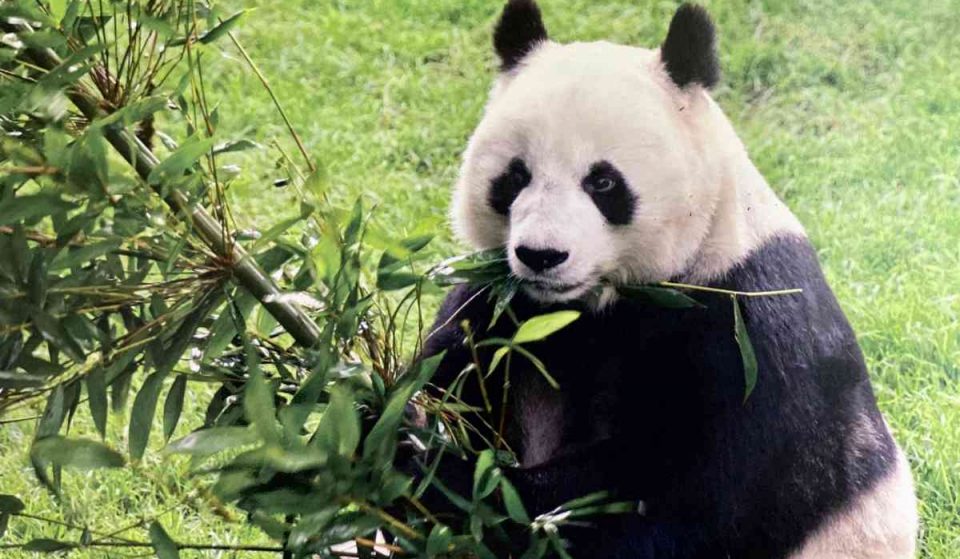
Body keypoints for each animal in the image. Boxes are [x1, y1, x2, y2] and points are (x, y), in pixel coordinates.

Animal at [418, 2, 916, 556]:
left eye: (603, 182)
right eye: (515, 176)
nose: (541, 255)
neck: (592, 305)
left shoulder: (748, 332)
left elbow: (685, 502)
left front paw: (438, 470)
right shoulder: (500, 307)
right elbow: (447, 377)